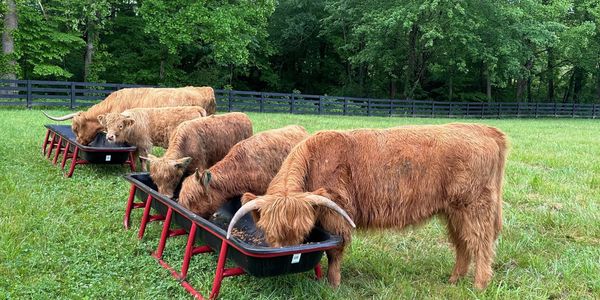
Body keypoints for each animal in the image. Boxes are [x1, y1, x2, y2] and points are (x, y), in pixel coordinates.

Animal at [227, 122, 508, 290]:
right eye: (270, 233)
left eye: (302, 232)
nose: (284, 262)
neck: (313, 161)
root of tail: (486, 130)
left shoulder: (337, 214)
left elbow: (335, 251)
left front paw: (333, 284)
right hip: (454, 211)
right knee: (462, 242)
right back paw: (454, 279)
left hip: (475, 205)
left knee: (481, 242)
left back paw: (479, 285)